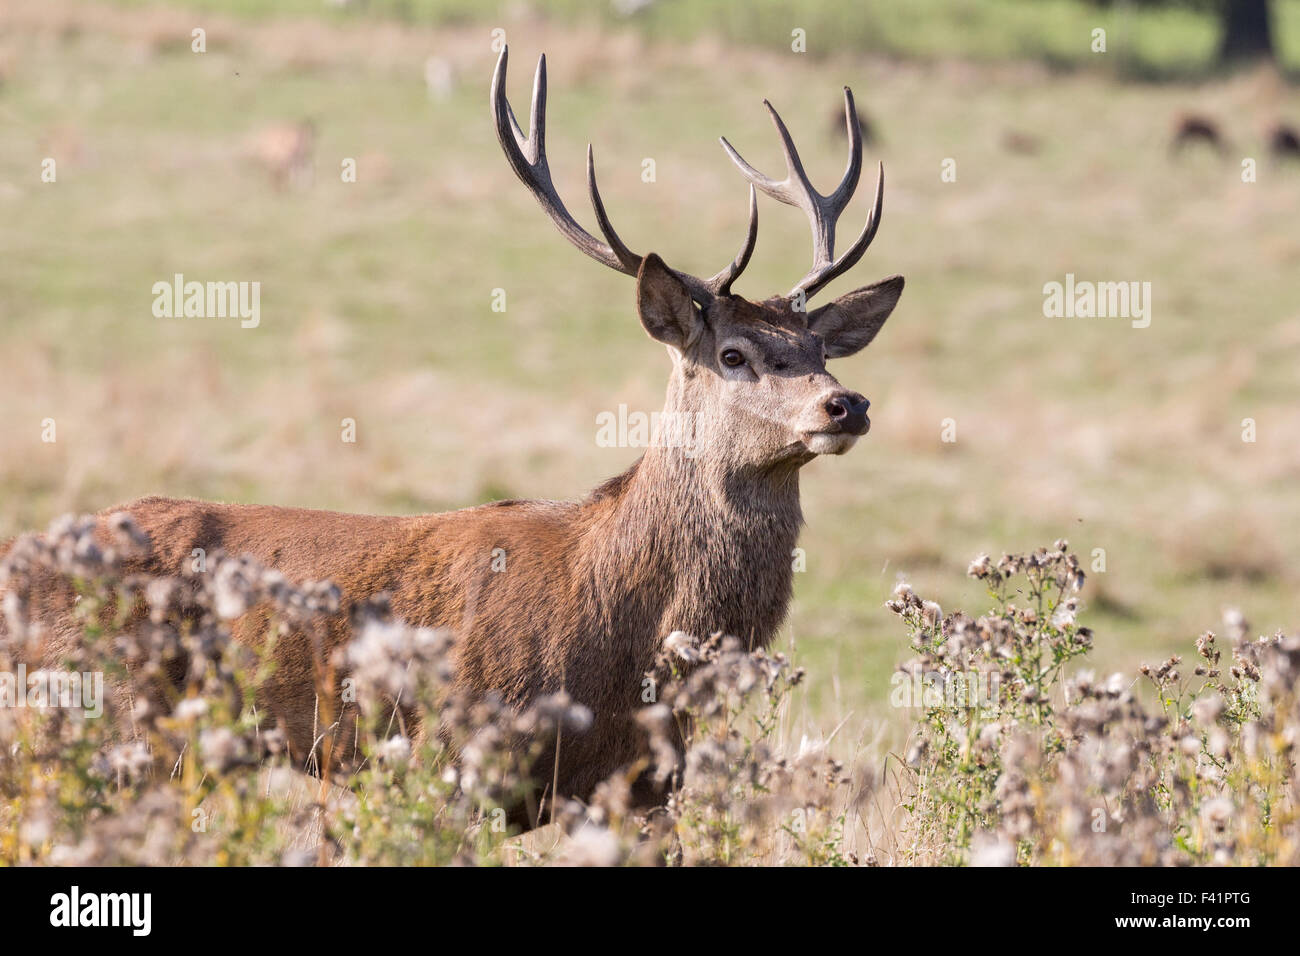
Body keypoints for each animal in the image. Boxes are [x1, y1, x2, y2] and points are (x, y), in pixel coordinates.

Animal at [1, 47, 904, 825]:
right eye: (733, 353)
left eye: (819, 350)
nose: (846, 405)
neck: (626, 639)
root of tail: (22, 558)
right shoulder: (455, 755)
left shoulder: (646, 789)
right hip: (99, 719)